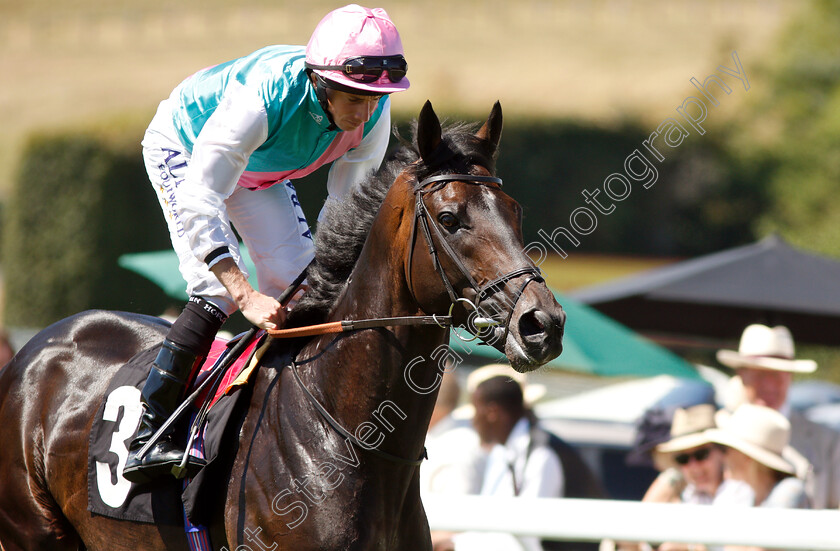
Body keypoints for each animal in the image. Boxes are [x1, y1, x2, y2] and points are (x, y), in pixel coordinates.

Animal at [1, 101, 564, 548]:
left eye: (515, 210)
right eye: (450, 219)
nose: (543, 323)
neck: (351, 439)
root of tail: (35, 349)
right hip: (34, 532)